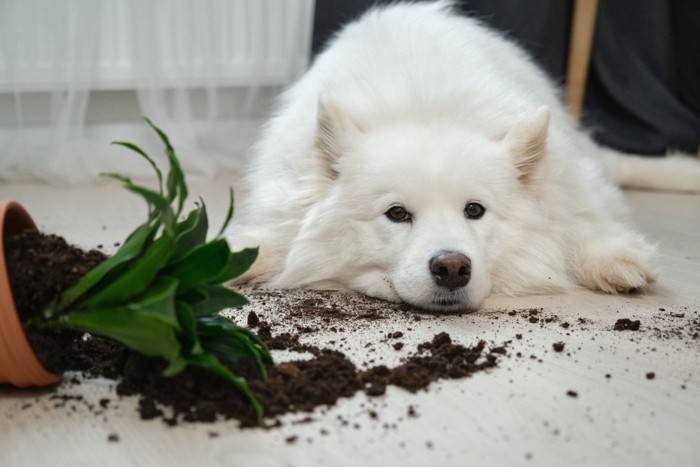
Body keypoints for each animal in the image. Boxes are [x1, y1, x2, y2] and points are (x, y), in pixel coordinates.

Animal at [231, 2, 700, 314]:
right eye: (396, 213)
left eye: (475, 210)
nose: (453, 267)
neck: (424, 110)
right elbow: (274, 237)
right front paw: (243, 252)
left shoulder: (568, 187)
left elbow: (579, 221)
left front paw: (613, 257)